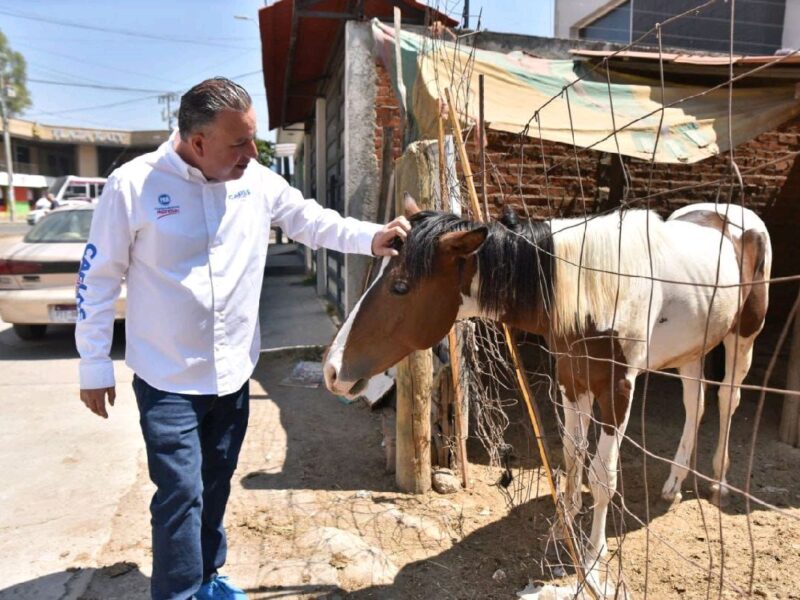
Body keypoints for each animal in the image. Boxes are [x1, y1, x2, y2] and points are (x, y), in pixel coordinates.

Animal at [322, 196, 772, 572]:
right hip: (692, 349)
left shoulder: (617, 390)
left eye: (400, 286)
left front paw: (593, 555)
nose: (332, 369)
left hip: (743, 338)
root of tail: (730, 215)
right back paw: (674, 484)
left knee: (727, 399)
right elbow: (572, 455)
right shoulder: (572, 378)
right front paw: (564, 527)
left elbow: (601, 475)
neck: (595, 286)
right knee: (695, 405)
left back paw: (718, 483)